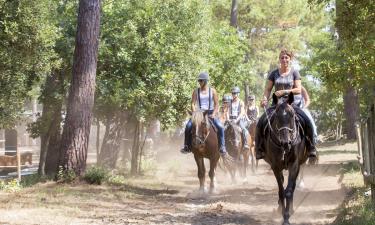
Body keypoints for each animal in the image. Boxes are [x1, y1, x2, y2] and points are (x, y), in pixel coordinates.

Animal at [262, 92, 310, 224]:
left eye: (292, 115)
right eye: (276, 116)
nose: (285, 143)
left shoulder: (294, 165)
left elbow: (288, 191)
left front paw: (287, 217)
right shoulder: (275, 166)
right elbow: (281, 191)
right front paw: (282, 212)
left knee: (292, 187)